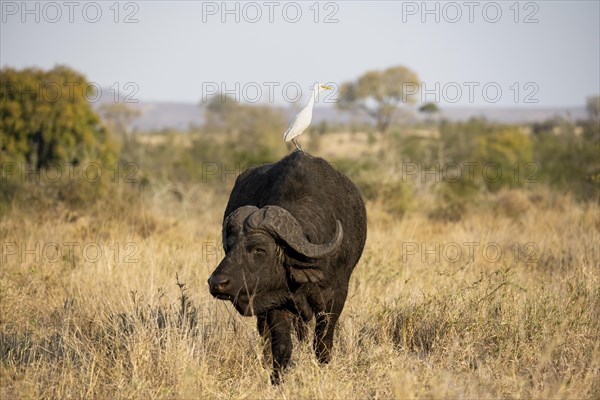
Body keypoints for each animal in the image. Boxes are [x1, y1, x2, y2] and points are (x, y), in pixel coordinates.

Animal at [207, 151, 366, 384]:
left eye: (259, 249)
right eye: (230, 246)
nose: (216, 283)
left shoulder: (336, 297)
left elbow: (323, 342)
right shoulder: (276, 301)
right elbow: (281, 347)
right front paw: (277, 379)